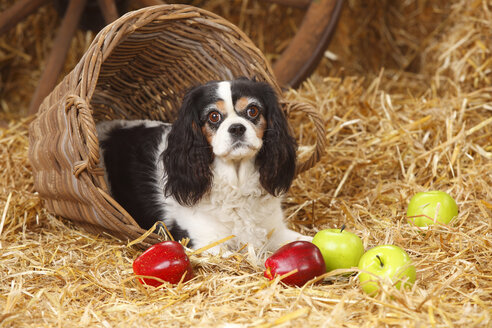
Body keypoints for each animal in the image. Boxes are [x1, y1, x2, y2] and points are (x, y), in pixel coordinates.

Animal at [97, 78, 310, 255]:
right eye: (214, 116)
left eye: (253, 111)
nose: (237, 128)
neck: (236, 184)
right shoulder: (205, 243)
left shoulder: (276, 231)